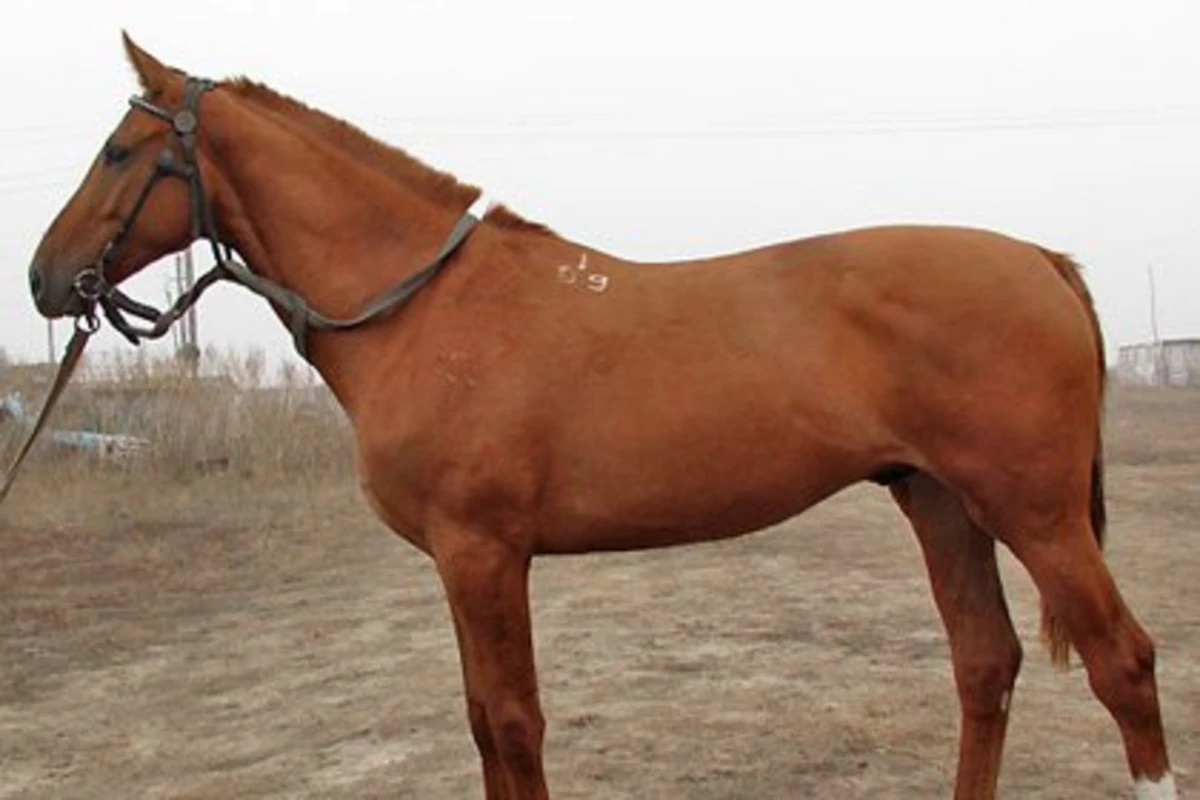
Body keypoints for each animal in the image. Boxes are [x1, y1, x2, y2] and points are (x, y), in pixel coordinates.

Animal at [25, 34, 1177, 800]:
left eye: (118, 153)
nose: (42, 278)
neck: (427, 306)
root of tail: (1040, 258)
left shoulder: (486, 554)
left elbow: (514, 722)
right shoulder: (460, 562)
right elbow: (482, 724)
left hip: (1034, 512)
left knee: (1123, 662)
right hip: (940, 502)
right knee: (986, 665)